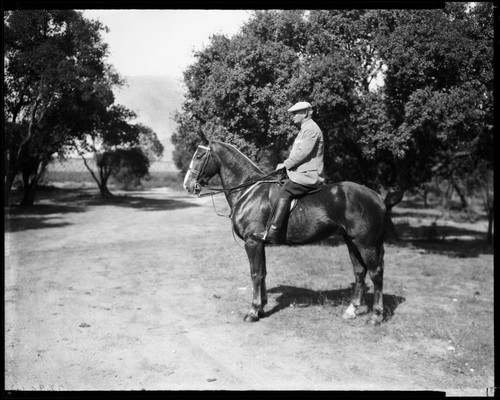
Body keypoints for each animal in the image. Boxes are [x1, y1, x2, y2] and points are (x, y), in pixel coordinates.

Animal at [184, 139, 386, 324]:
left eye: (199, 156)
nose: (187, 185)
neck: (249, 191)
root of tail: (375, 195)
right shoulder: (260, 243)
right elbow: (263, 273)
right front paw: (262, 308)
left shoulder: (252, 242)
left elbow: (255, 274)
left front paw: (253, 311)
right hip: (351, 241)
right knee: (359, 272)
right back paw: (351, 310)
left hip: (365, 243)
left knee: (375, 273)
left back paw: (376, 316)